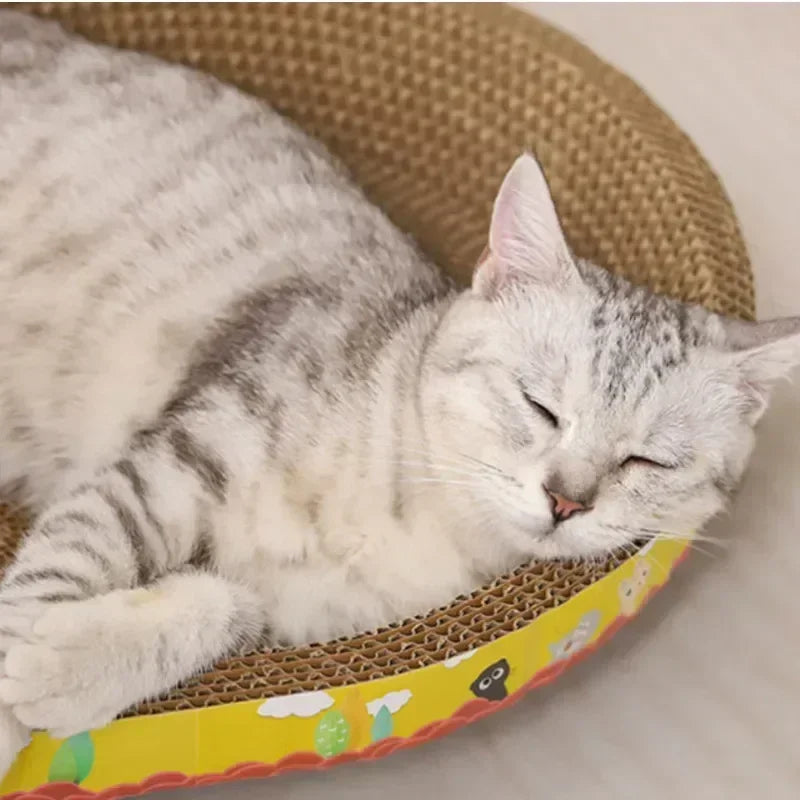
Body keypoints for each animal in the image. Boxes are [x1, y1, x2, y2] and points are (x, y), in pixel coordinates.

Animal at [1, 10, 800, 776]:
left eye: (648, 461)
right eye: (539, 406)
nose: (566, 501)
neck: (418, 528)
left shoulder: (293, 621)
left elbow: (219, 607)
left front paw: (56, 666)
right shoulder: (177, 464)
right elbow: (61, 565)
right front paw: (19, 691)